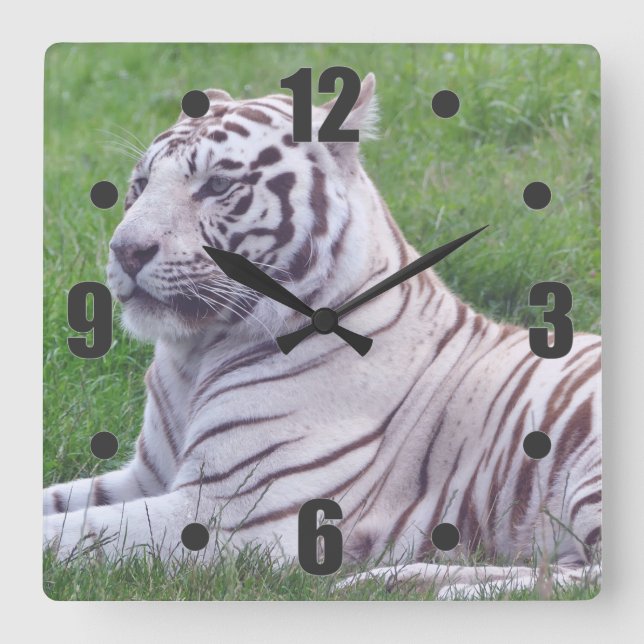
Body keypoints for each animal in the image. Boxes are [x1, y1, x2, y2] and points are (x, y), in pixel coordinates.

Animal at [43, 73, 601, 598]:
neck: (194, 354)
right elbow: (55, 503)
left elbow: (70, 533)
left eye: (218, 185)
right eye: (139, 184)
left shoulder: (231, 514)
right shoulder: (147, 477)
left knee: (582, 579)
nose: (125, 250)